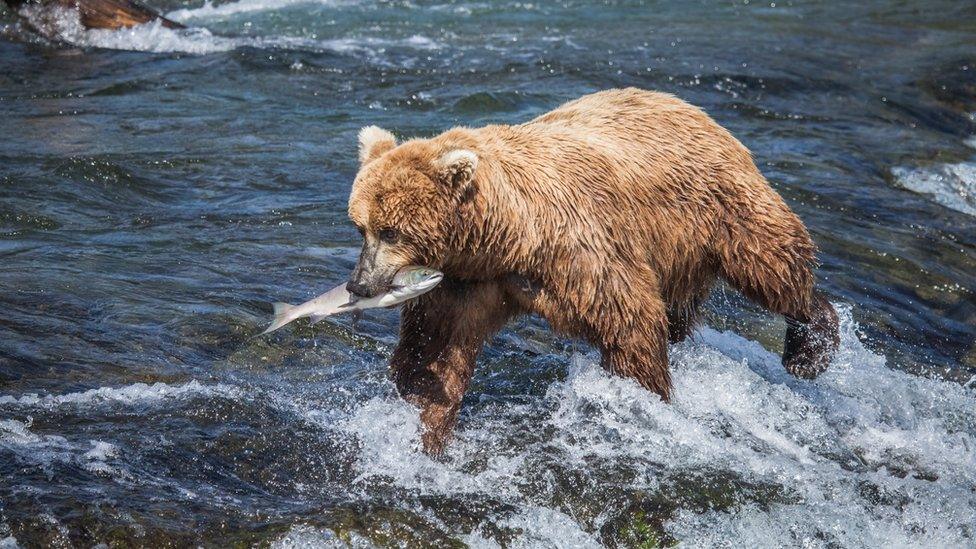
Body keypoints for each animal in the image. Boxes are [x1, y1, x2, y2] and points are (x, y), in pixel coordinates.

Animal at [346, 86, 840, 454]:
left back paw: (809, 347)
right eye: (360, 226)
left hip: (719, 208)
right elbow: (434, 350)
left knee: (771, 264)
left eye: (391, 231)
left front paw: (647, 399)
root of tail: (690, 106)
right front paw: (420, 429)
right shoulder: (466, 282)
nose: (358, 284)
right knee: (682, 310)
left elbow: (630, 322)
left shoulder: (581, 249)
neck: (508, 237)